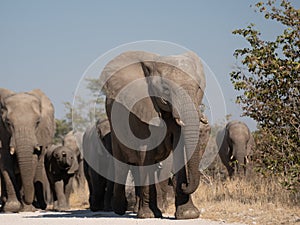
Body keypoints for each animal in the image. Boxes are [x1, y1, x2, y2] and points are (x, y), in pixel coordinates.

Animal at [101, 50, 206, 218]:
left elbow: (178, 148)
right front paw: (148, 215)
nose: (185, 184)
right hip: (114, 128)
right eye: (166, 89)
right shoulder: (140, 109)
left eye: (198, 88)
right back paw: (119, 210)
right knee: (122, 165)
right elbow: (146, 152)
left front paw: (188, 215)